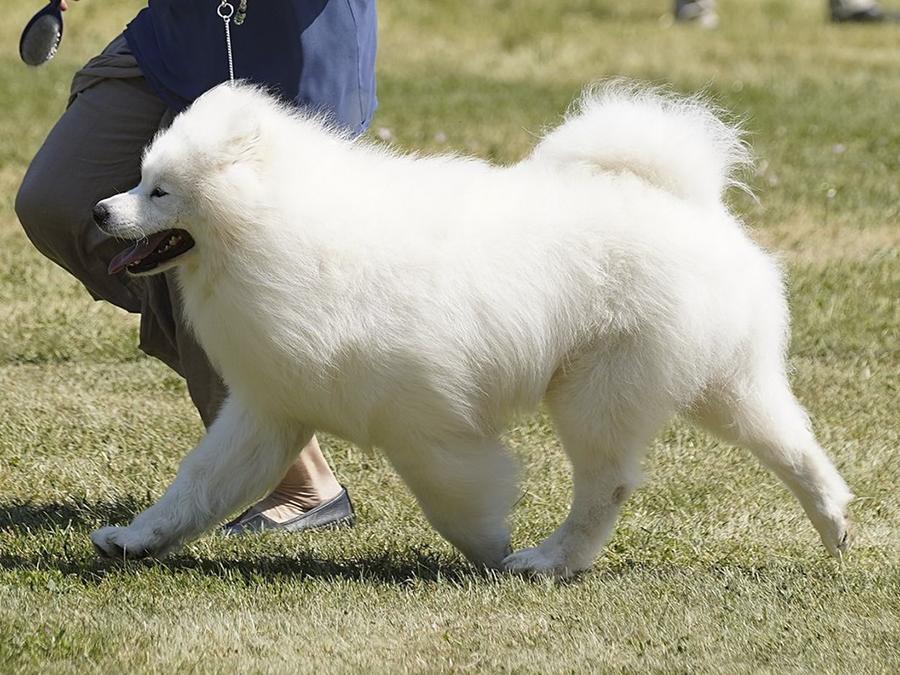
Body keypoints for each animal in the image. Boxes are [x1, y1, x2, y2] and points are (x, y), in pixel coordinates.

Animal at [88, 79, 856, 576]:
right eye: (139, 180)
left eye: (160, 191)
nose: (100, 209)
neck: (278, 230)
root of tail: (689, 202)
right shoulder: (270, 410)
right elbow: (197, 484)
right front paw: (135, 539)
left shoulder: (421, 420)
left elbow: (452, 498)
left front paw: (488, 549)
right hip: (722, 383)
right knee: (794, 444)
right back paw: (837, 524)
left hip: (597, 393)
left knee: (605, 488)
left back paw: (547, 560)